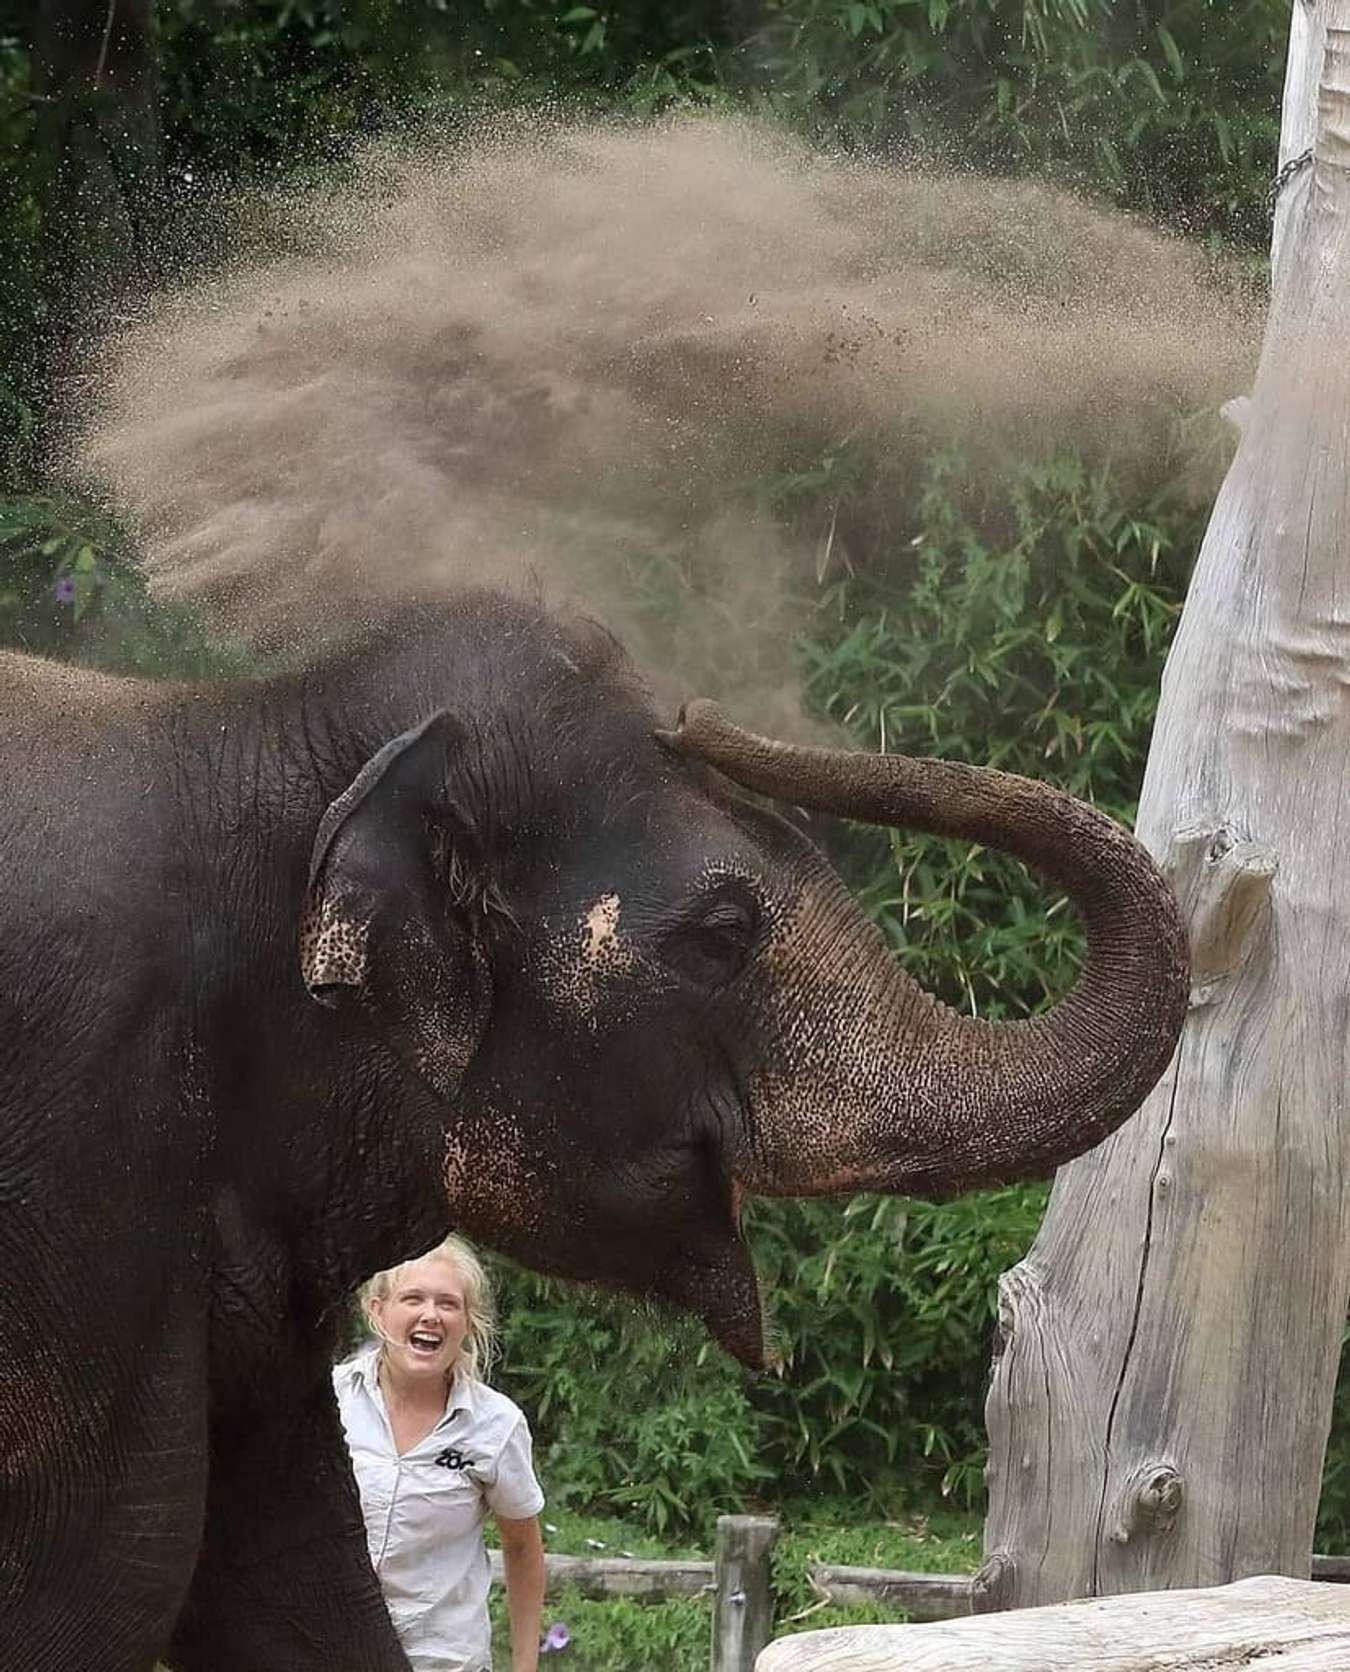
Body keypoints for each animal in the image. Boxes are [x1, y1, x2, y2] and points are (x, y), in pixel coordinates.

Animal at [0, 588, 1184, 1672]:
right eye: (723, 933)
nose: (699, 715)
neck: (245, 731)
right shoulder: (87, 1131)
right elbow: (109, 1572)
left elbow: (283, 1570)